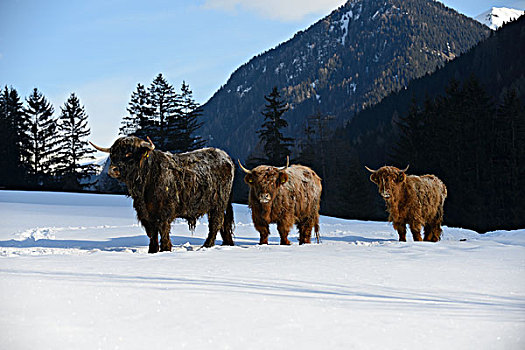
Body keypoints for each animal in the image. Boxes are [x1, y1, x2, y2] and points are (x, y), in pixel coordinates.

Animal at [91, 135, 234, 253]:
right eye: (113, 154)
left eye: (128, 153)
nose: (112, 170)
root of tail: (225, 157)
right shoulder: (146, 214)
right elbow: (153, 234)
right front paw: (152, 251)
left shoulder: (164, 212)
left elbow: (163, 231)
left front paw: (165, 249)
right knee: (222, 223)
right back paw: (226, 244)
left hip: (218, 204)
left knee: (215, 223)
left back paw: (207, 246)